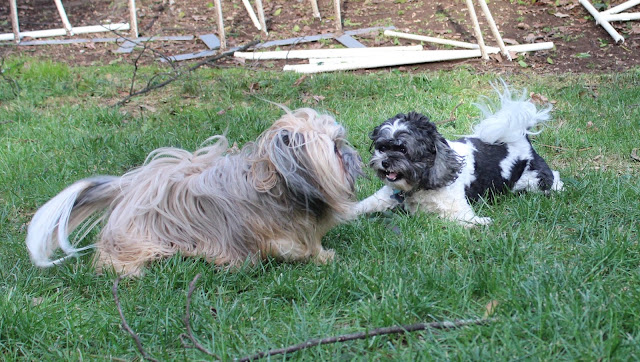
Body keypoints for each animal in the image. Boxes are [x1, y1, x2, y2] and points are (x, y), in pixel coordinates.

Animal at [358, 85, 564, 226]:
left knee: (552, 178)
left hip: (534, 180)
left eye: (403, 150)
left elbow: (464, 220)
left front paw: (482, 223)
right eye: (382, 147)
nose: (385, 162)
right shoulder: (386, 196)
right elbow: (366, 204)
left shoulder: (455, 208)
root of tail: (520, 137)